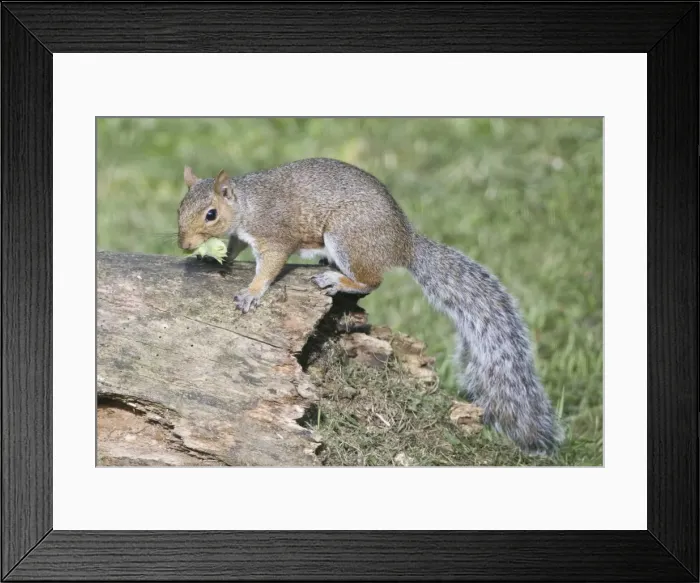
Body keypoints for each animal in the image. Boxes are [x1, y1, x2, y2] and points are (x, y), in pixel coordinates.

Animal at [177, 157, 564, 456]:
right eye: (180, 207)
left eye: (211, 214)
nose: (184, 244)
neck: (247, 205)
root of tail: (403, 243)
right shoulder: (242, 236)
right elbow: (235, 247)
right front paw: (218, 258)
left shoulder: (274, 236)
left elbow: (270, 267)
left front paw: (252, 292)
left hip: (347, 236)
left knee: (372, 280)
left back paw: (338, 280)